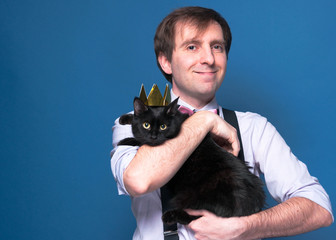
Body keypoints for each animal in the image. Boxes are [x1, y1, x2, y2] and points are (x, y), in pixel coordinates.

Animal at [118, 97, 266, 225]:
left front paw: (126, 140)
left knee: (202, 217)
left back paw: (171, 216)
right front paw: (126, 118)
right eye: (146, 125)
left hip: (197, 195)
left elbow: (141, 142)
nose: (154, 136)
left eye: (163, 127)